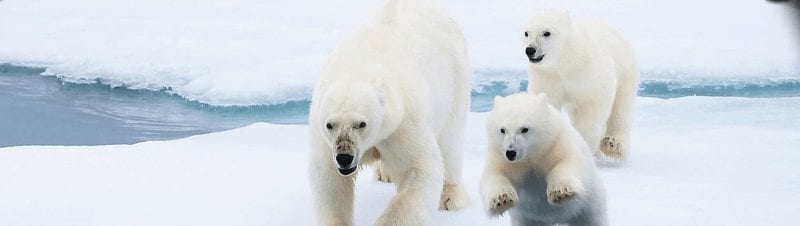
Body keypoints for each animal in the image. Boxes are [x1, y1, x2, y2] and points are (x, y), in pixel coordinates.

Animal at [308, 0, 472, 226]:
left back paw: (450, 196)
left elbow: (419, 167)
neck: (358, 69)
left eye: (362, 123)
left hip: (455, 79)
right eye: (330, 124)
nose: (344, 157)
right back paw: (385, 173)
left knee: (450, 140)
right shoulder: (323, 137)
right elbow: (330, 178)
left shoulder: (403, 123)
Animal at [482, 92, 608, 225]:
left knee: (592, 220)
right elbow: (494, 175)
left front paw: (560, 193)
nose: (511, 152)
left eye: (524, 129)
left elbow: (568, 161)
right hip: (527, 218)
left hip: (589, 203)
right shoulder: (502, 156)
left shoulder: (555, 142)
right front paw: (502, 200)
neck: (532, 154)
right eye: (502, 130)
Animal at [520, 9, 640, 160]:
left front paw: (581, 145)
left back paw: (613, 144)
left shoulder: (589, 73)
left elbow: (593, 104)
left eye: (546, 33)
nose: (530, 50)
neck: (567, 62)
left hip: (625, 71)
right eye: (526, 33)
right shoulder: (548, 77)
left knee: (621, 109)